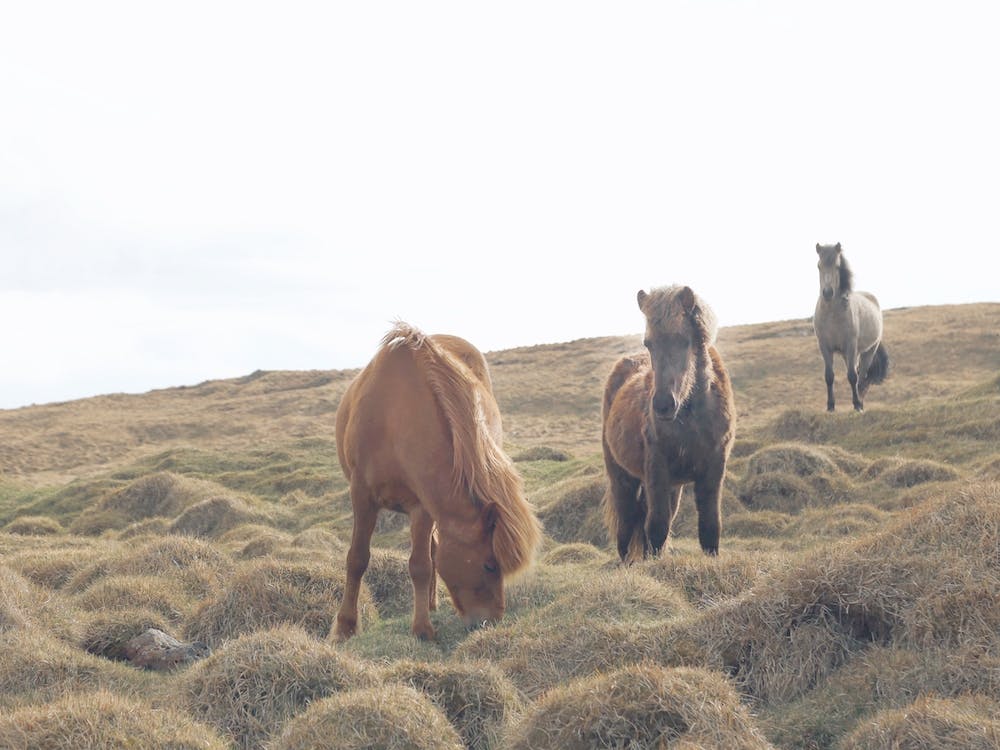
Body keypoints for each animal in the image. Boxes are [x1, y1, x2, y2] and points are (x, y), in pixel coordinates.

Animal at [332, 322, 541, 641]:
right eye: (490, 565)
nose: (492, 620)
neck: (394, 418)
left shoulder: (422, 506)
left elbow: (421, 565)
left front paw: (422, 628)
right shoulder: (362, 495)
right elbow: (357, 559)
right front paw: (346, 626)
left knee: (430, 552)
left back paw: (429, 605)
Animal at [601, 285, 736, 562]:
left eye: (684, 341)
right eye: (649, 343)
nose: (663, 405)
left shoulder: (714, 468)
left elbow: (710, 527)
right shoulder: (657, 469)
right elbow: (656, 527)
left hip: (672, 487)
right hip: (622, 477)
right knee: (626, 525)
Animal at [813, 243, 890, 412]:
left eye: (837, 266)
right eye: (819, 266)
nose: (827, 293)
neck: (832, 314)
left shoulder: (851, 345)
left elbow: (852, 376)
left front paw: (856, 405)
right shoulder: (825, 347)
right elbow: (829, 376)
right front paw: (830, 406)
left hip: (867, 351)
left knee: (861, 377)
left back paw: (860, 402)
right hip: (848, 354)